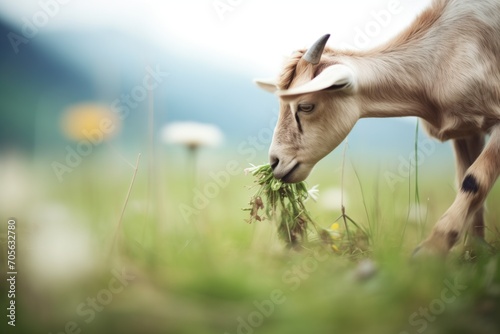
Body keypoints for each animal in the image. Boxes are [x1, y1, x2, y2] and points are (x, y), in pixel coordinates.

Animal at [254, 0, 500, 256]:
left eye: (305, 105)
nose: (275, 162)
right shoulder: (466, 132)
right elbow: (466, 180)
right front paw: (473, 252)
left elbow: (474, 179)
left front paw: (430, 250)